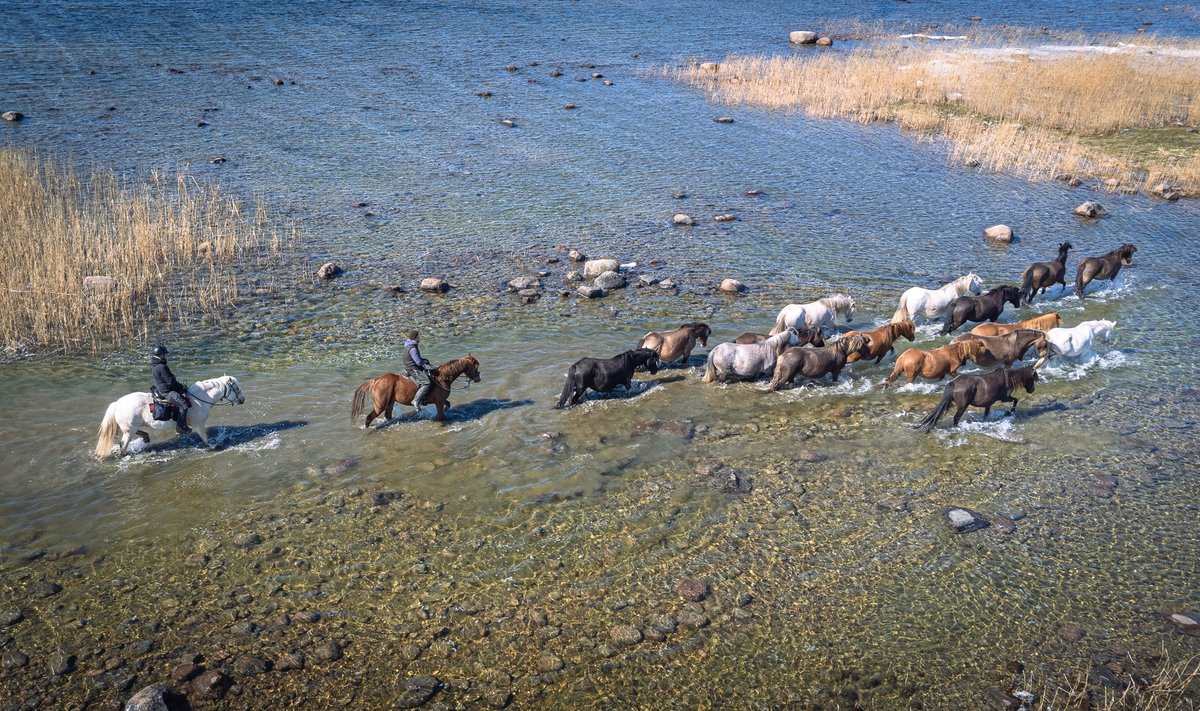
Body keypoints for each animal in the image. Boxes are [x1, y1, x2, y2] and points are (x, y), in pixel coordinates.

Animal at [94, 374, 246, 458]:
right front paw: (211, 448)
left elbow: (177, 438)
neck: (201, 398)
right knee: (123, 445)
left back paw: (146, 437)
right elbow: (205, 441)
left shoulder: (180, 426)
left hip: (131, 428)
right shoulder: (199, 425)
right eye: (236, 389)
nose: (243, 400)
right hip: (128, 430)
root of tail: (117, 403)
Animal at [350, 353, 480, 425]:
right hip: (380, 405)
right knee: (369, 418)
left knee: (387, 416)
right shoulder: (439, 401)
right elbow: (440, 416)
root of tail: (375, 380)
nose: (478, 379)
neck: (442, 377)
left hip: (390, 403)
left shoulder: (441, 400)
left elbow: (447, 405)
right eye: (476, 367)